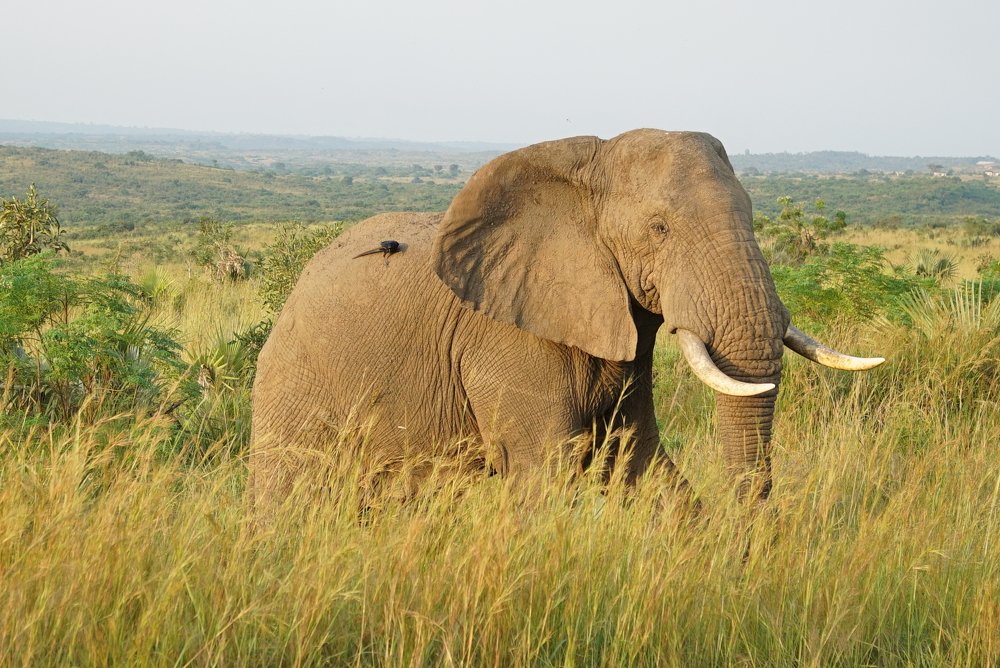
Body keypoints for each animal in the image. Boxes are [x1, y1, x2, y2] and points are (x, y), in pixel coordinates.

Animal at [248, 129, 883, 517]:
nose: (750, 538)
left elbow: (637, 457)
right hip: (294, 390)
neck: (584, 171)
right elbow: (545, 473)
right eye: (659, 229)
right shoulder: (507, 339)